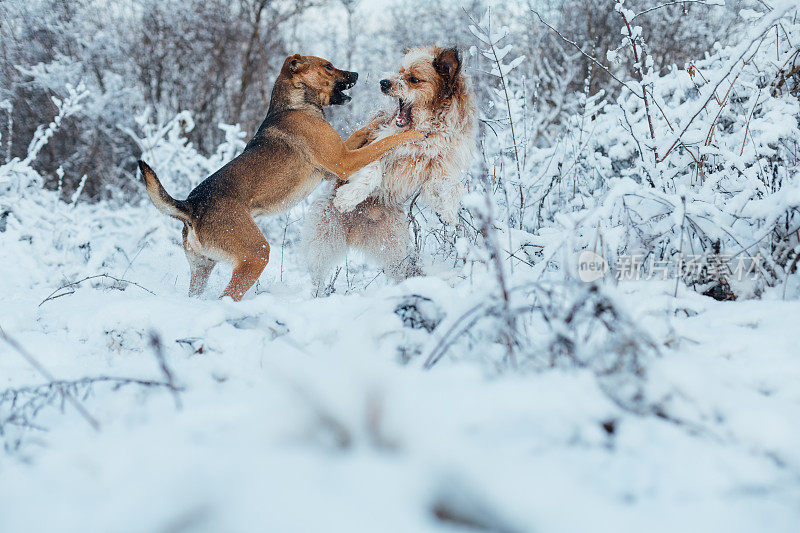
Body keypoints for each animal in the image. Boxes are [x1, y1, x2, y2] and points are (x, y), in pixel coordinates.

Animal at [138, 57, 424, 304]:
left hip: (201, 269)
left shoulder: (335, 162)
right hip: (256, 254)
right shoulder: (343, 161)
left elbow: (363, 132)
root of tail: (191, 207)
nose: (354, 74)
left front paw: (383, 118)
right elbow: (385, 142)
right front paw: (412, 132)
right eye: (328, 66)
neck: (296, 104)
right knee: (227, 296)